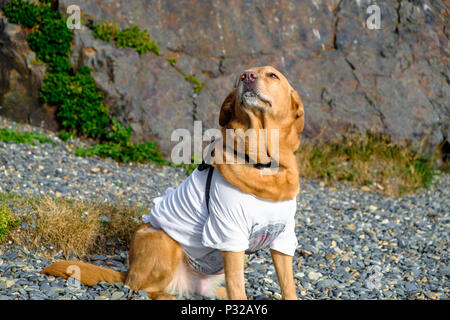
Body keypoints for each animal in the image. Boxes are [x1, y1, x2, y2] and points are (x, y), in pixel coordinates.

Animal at [42, 65, 306, 300]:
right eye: (241, 76)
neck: (264, 163)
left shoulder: (283, 237)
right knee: (142, 288)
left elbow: (287, 285)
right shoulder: (229, 234)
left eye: (273, 75)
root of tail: (128, 270)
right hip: (163, 241)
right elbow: (237, 287)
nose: (247, 76)